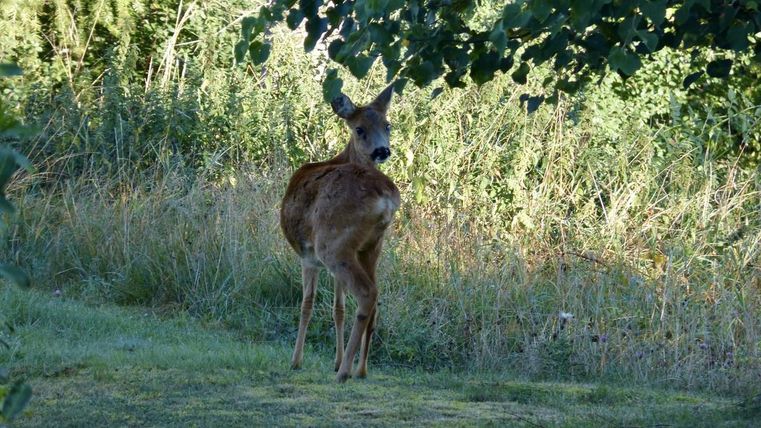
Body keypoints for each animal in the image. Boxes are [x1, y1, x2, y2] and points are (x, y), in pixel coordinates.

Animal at [280, 84, 400, 383]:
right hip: (371, 246)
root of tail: (386, 198)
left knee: (367, 294)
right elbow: (338, 308)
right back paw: (360, 369)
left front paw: (296, 360)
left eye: (387, 124)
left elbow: (307, 304)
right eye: (359, 128)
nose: (382, 150)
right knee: (376, 299)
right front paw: (334, 360)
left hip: (333, 244)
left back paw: (344, 372)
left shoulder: (308, 257)